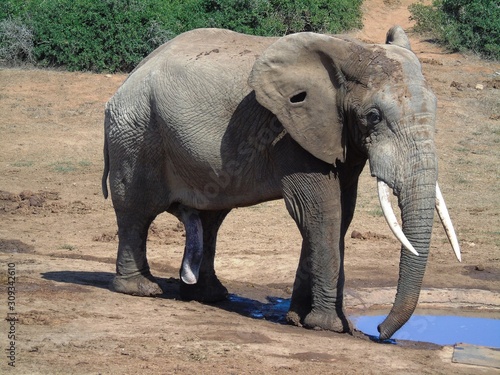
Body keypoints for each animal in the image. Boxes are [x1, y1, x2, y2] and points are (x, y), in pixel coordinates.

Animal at [102, 25, 460, 340]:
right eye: (373, 116)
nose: (380, 330)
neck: (349, 51)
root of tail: (127, 79)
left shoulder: (336, 135)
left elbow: (342, 214)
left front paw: (301, 319)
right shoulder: (291, 133)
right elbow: (321, 213)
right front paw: (329, 326)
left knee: (211, 217)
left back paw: (212, 296)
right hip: (136, 133)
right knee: (136, 210)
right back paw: (142, 289)